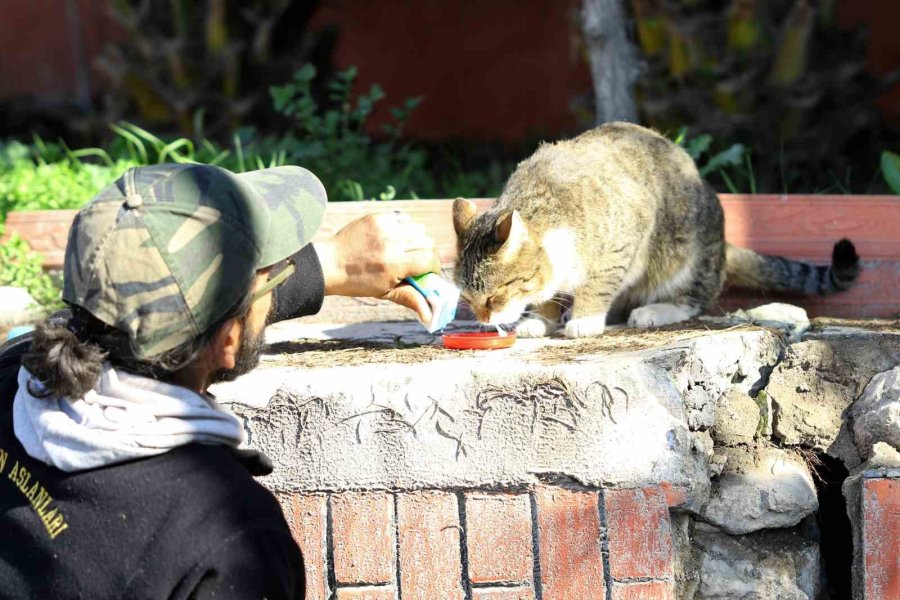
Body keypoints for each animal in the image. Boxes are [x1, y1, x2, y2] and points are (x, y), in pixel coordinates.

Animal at [454, 123, 860, 338]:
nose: (484, 321)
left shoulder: (623, 240)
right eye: (469, 299)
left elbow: (598, 284)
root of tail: (723, 244)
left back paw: (654, 310)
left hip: (686, 258)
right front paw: (540, 319)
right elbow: (547, 296)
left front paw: (583, 319)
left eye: (493, 297)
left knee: (692, 299)